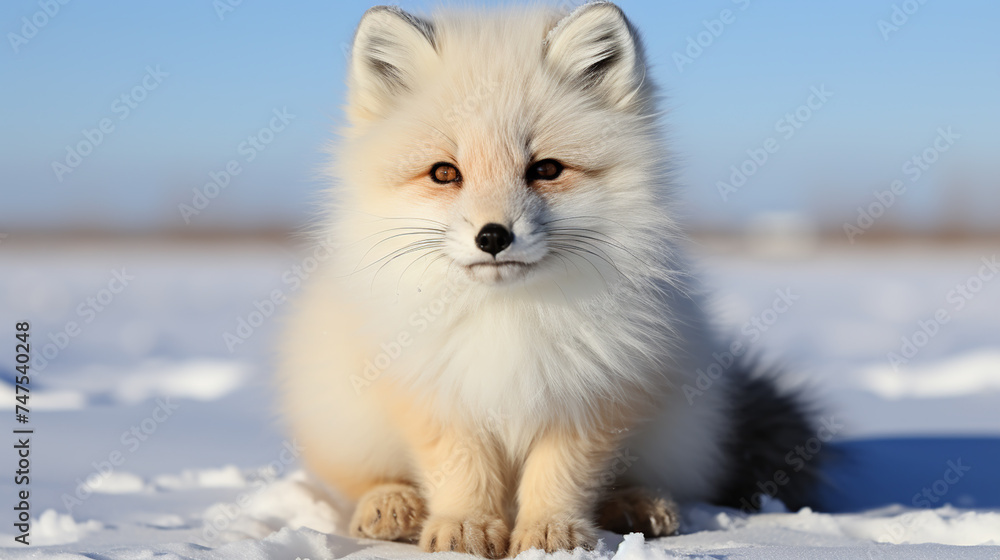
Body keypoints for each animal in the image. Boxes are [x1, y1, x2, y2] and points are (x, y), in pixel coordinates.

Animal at [279, 2, 822, 557]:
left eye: (546, 169)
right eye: (445, 173)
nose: (493, 236)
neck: (506, 322)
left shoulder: (590, 395)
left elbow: (562, 476)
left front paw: (550, 535)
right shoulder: (438, 395)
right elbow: (461, 471)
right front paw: (466, 527)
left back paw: (638, 505)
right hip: (346, 420)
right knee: (363, 481)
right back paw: (391, 505)